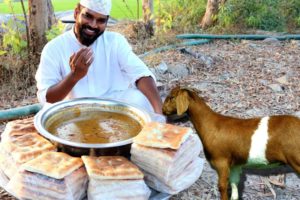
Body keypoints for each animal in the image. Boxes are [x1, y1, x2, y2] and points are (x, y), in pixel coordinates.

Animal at [163, 86, 300, 200]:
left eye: (171, 97)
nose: (163, 109)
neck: (211, 125)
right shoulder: (234, 164)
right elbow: (234, 184)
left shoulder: (221, 162)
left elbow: (222, 186)